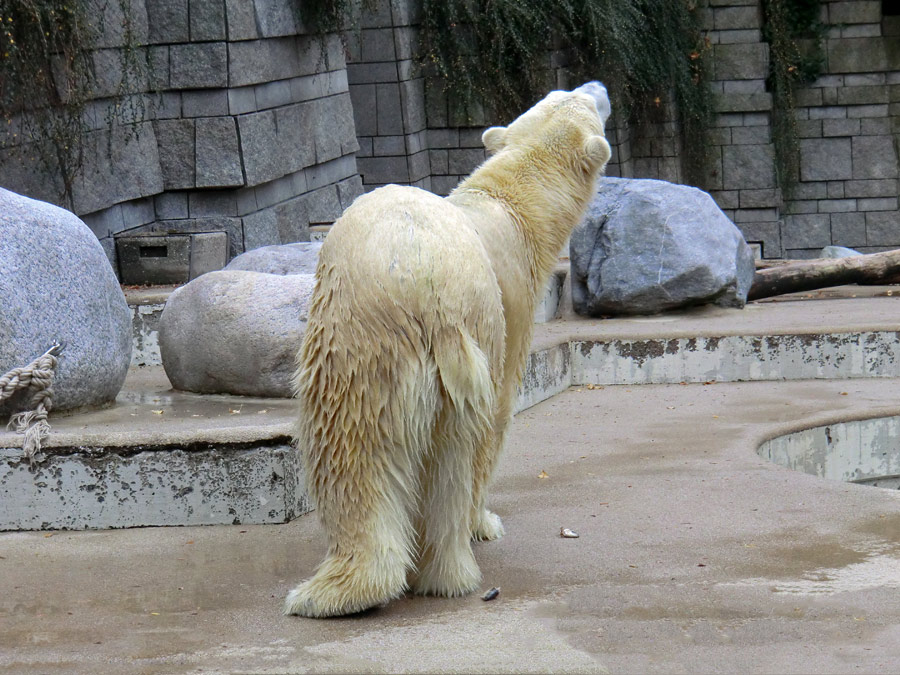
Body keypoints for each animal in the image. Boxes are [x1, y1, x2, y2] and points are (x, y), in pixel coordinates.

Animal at [286, 83, 612, 616]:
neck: (509, 202)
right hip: (419, 331)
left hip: (385, 343)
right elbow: (501, 417)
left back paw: (385, 583)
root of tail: (427, 281)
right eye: (575, 97)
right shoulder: (515, 302)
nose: (597, 86)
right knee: (422, 444)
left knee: (383, 445)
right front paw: (487, 523)